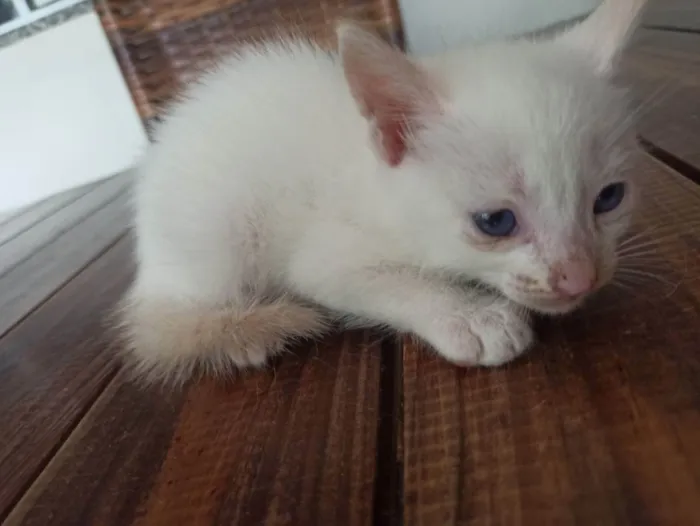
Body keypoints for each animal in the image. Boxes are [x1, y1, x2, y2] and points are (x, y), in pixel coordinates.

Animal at [117, 0, 648, 384]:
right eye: (496, 222)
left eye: (609, 198)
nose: (578, 278)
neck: (381, 188)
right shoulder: (321, 255)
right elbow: (391, 281)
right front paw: (472, 316)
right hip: (215, 234)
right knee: (168, 318)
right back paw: (242, 333)